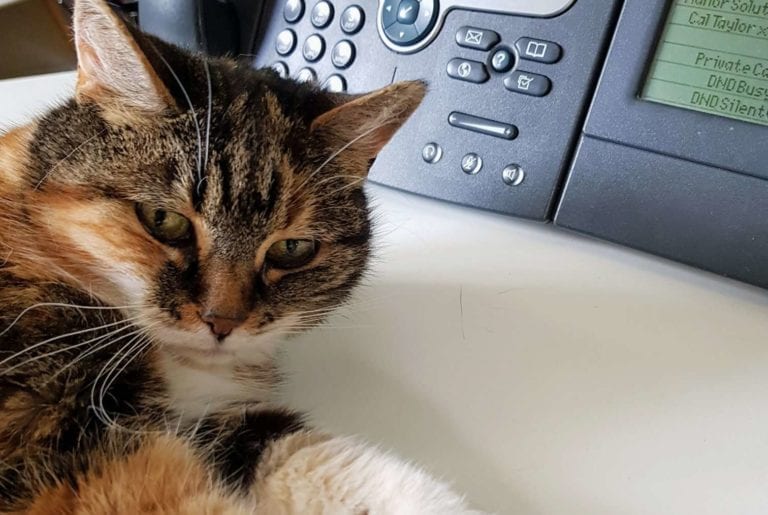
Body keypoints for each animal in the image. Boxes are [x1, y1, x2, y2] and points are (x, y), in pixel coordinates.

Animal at [0, 1, 480, 512]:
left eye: (291, 249)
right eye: (162, 220)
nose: (222, 322)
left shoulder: (211, 421)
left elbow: (311, 451)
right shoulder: (73, 449)